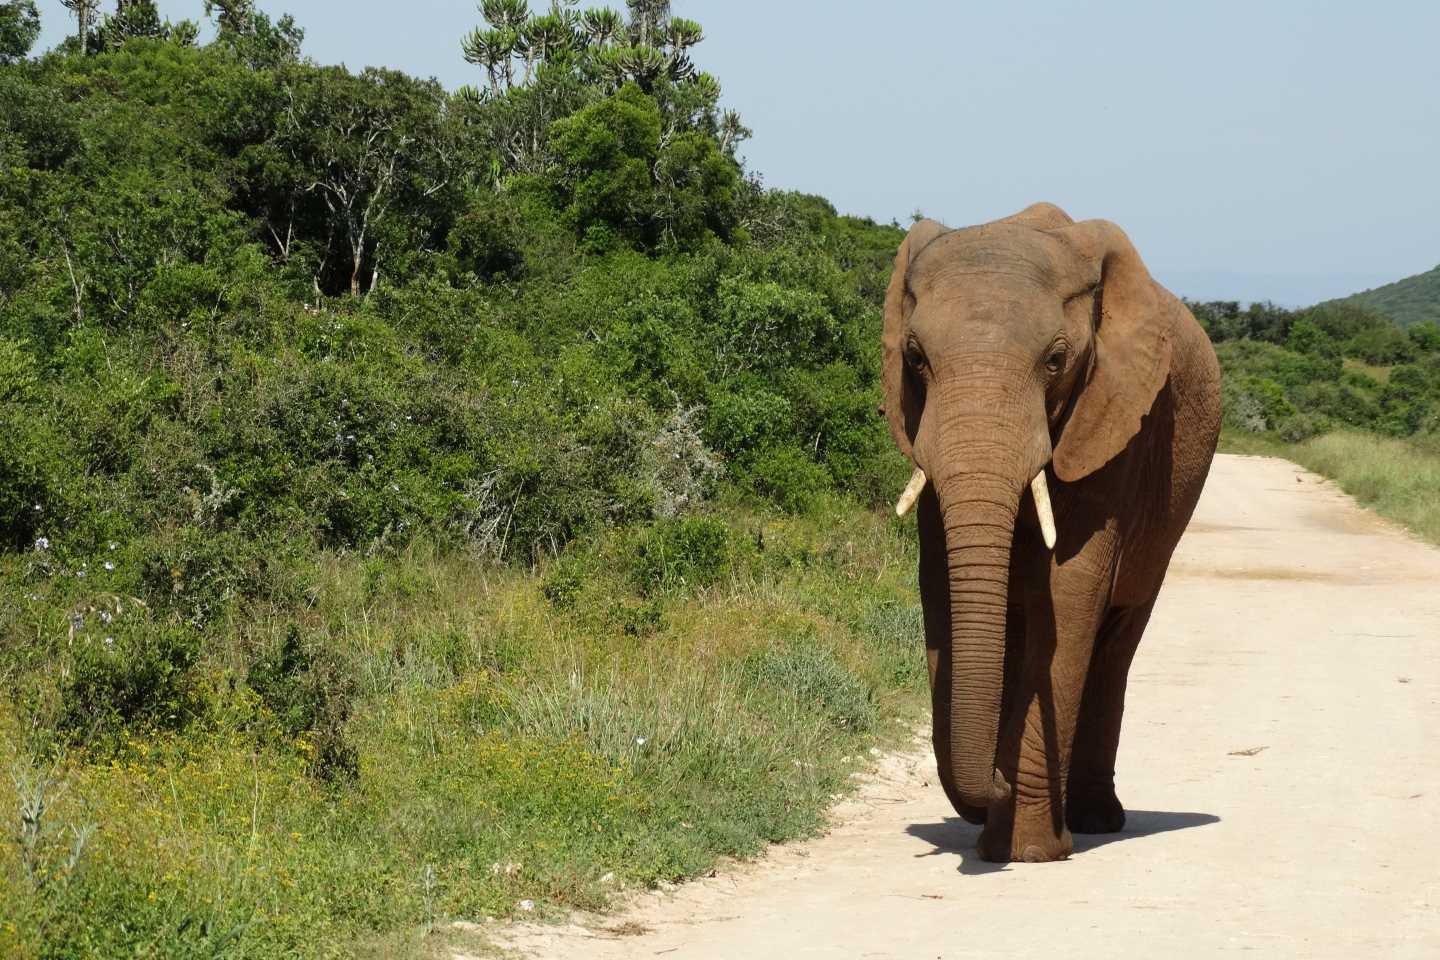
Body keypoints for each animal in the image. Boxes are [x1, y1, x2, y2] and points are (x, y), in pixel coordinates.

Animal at [881, 202, 1221, 863]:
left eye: (1056, 361)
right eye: (915, 358)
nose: (994, 782)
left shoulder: (1113, 425)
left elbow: (1068, 594)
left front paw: (1027, 850)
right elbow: (940, 588)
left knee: (1116, 641)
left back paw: (1094, 819)